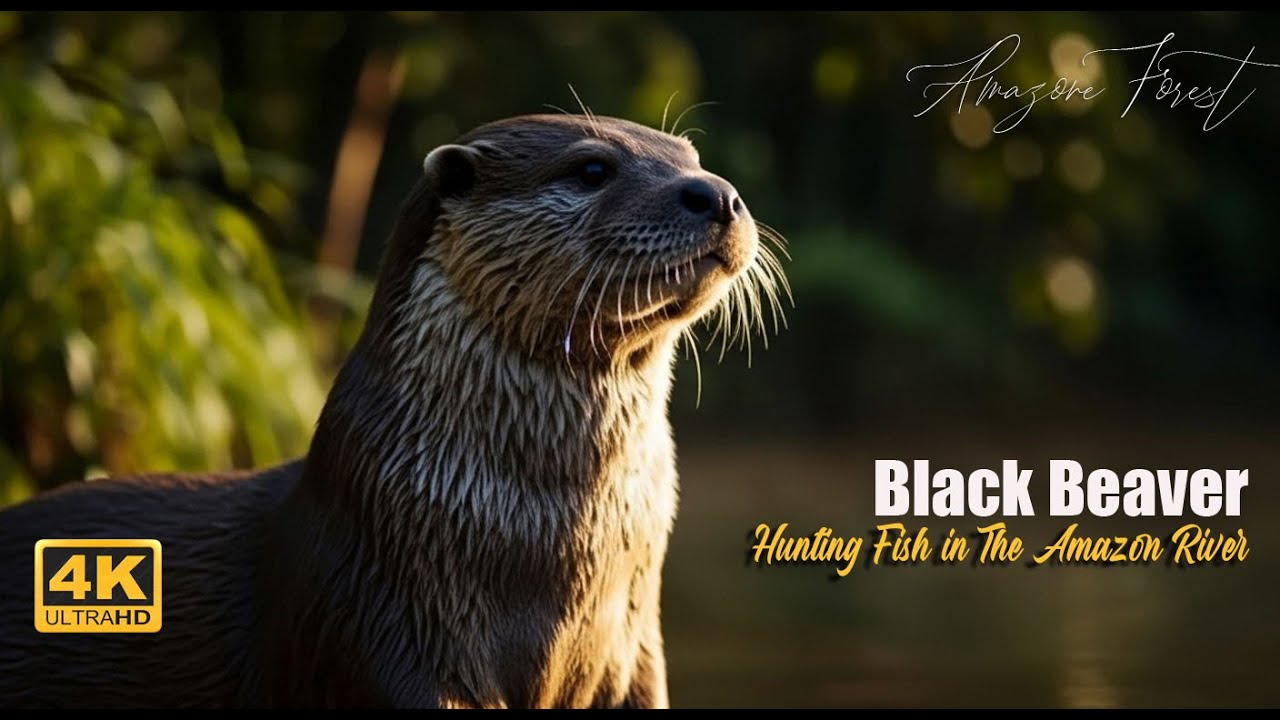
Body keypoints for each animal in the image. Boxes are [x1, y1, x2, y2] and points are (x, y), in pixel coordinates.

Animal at [0, 114, 787, 708]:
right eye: (592, 168)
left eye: (691, 157)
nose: (717, 194)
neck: (538, 547)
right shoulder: (378, 614)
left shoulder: (634, 650)